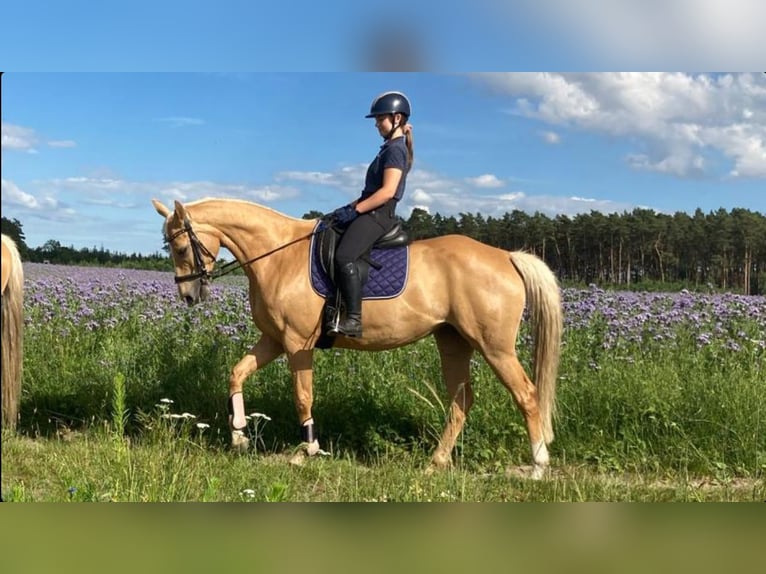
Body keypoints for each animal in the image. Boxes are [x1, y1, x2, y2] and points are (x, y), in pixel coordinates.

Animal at [154, 200, 564, 480]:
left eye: (180, 247)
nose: (188, 296)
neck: (279, 256)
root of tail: (507, 257)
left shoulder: (297, 343)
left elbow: (303, 396)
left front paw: (307, 449)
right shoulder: (273, 339)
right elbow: (236, 373)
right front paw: (239, 436)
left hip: (494, 347)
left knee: (527, 395)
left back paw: (537, 467)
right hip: (453, 341)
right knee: (462, 401)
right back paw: (436, 462)